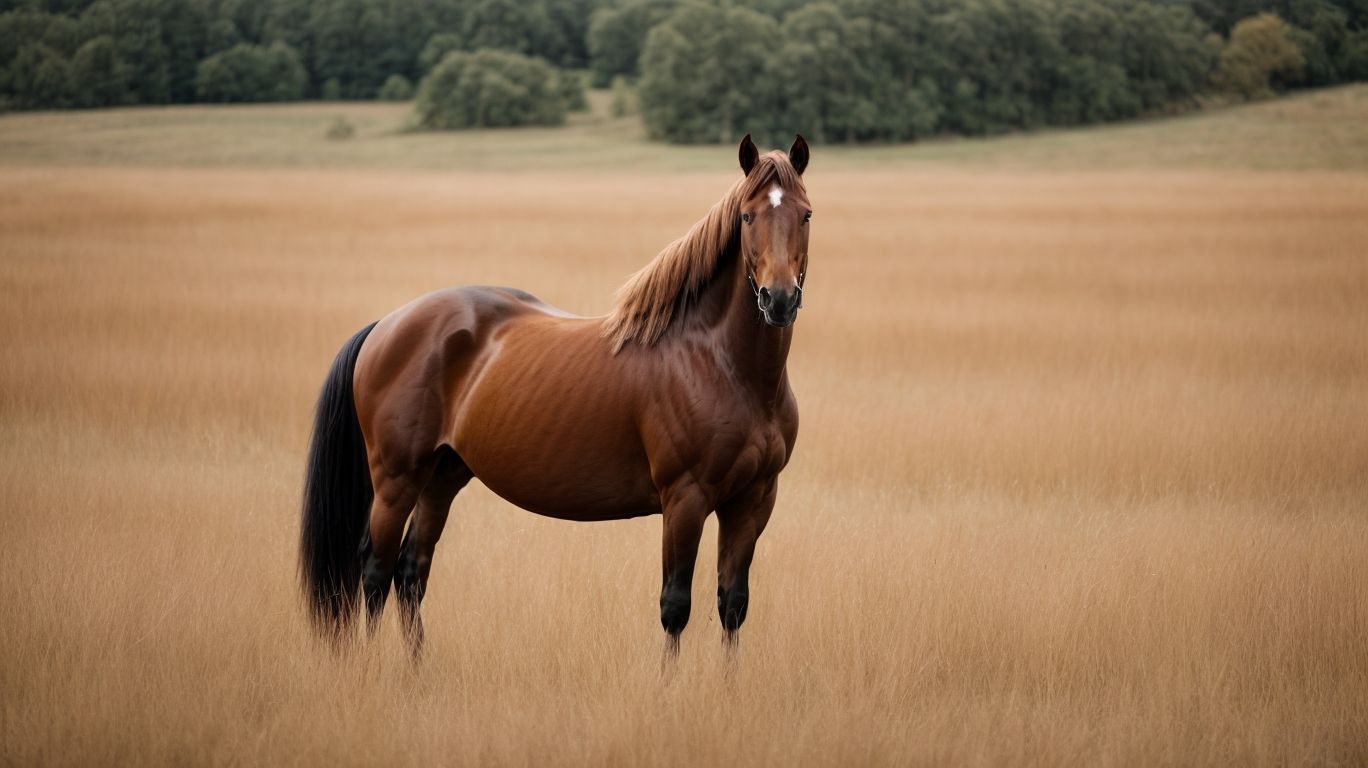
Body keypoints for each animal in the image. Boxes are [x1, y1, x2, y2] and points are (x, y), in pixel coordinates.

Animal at [299, 134, 812, 658]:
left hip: (441, 477)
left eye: (806, 215)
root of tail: (387, 324)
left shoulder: (753, 500)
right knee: (375, 572)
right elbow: (675, 607)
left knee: (410, 573)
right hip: (396, 479)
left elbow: (733, 605)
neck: (720, 364)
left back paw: (416, 668)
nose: (778, 300)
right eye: (747, 216)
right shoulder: (684, 500)